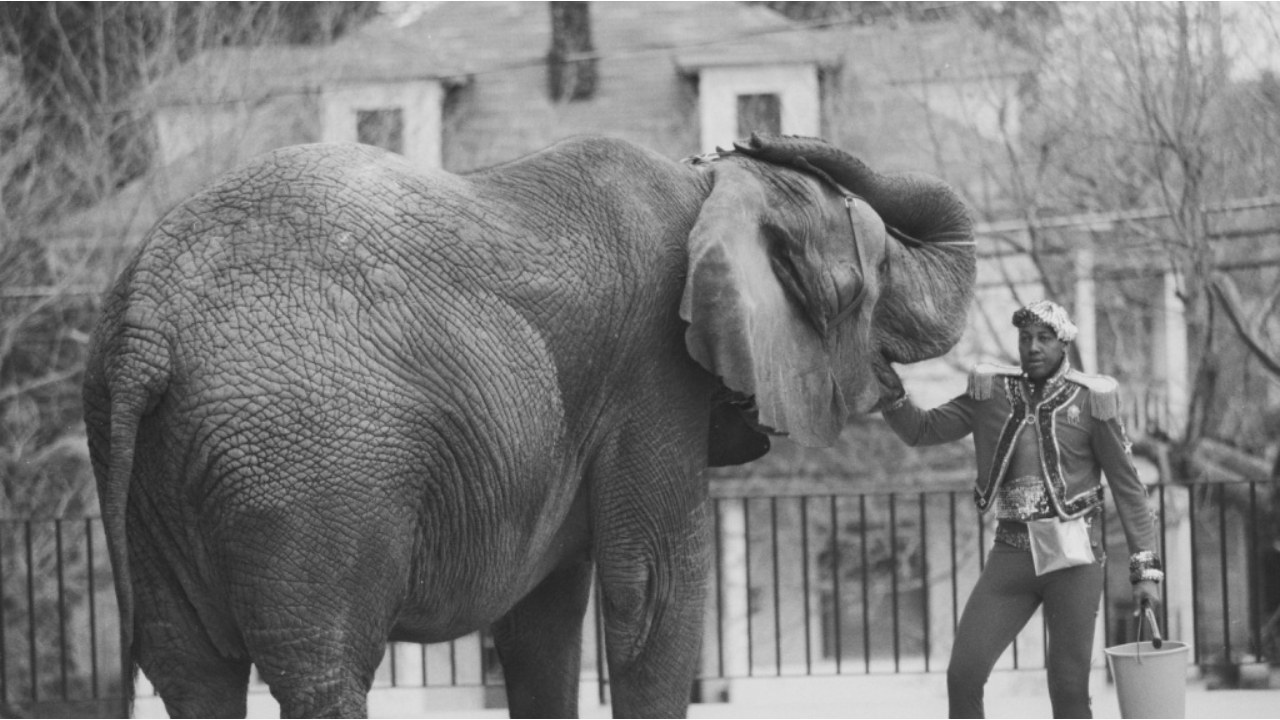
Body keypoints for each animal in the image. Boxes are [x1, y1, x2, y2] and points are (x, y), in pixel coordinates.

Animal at [80, 131, 972, 712]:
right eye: (862, 283)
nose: (742, 135)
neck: (704, 198)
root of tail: (147, 314)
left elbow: (543, 622)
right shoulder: (652, 372)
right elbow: (654, 590)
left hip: (156, 466)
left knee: (187, 668)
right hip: (306, 463)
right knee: (320, 668)